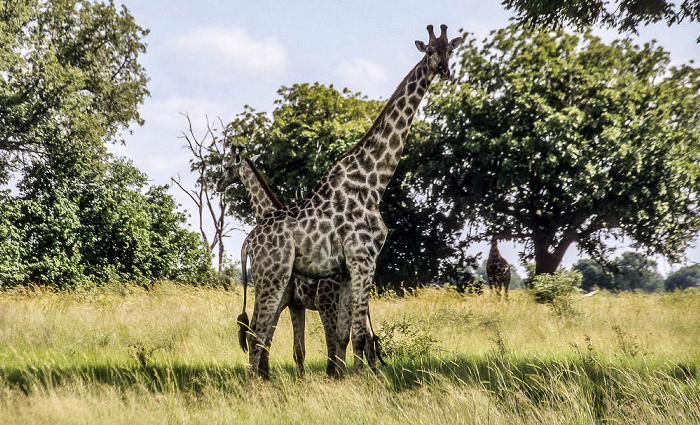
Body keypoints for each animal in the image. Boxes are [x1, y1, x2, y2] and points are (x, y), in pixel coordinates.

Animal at [217, 147, 382, 378]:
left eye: (227, 166)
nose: (218, 184)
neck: (266, 212)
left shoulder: (285, 299)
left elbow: (269, 339)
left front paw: (265, 376)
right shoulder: (295, 304)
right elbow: (297, 349)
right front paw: (294, 378)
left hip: (327, 306)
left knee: (336, 343)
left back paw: (335, 376)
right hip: (354, 305)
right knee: (367, 341)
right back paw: (373, 377)